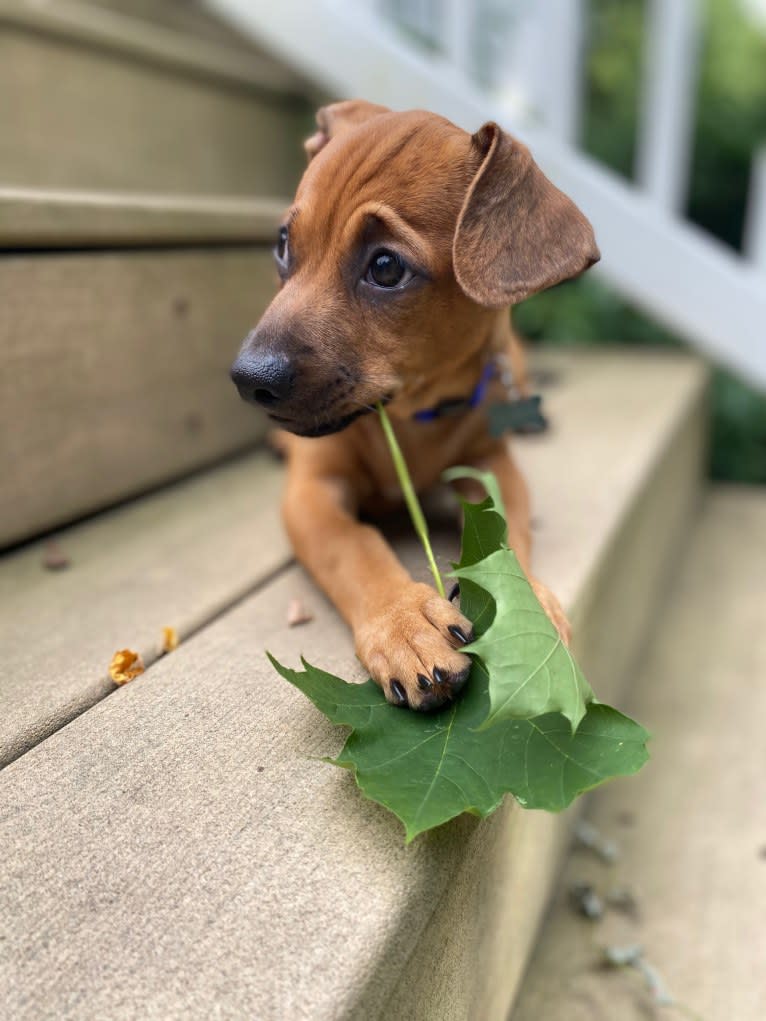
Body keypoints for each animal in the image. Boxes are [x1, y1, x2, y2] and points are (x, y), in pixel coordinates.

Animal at [230, 101, 604, 710]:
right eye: (284, 243)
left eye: (386, 268)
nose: (247, 379)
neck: (409, 419)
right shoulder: (312, 489)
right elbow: (352, 545)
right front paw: (404, 623)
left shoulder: (494, 465)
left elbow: (506, 529)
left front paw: (527, 610)